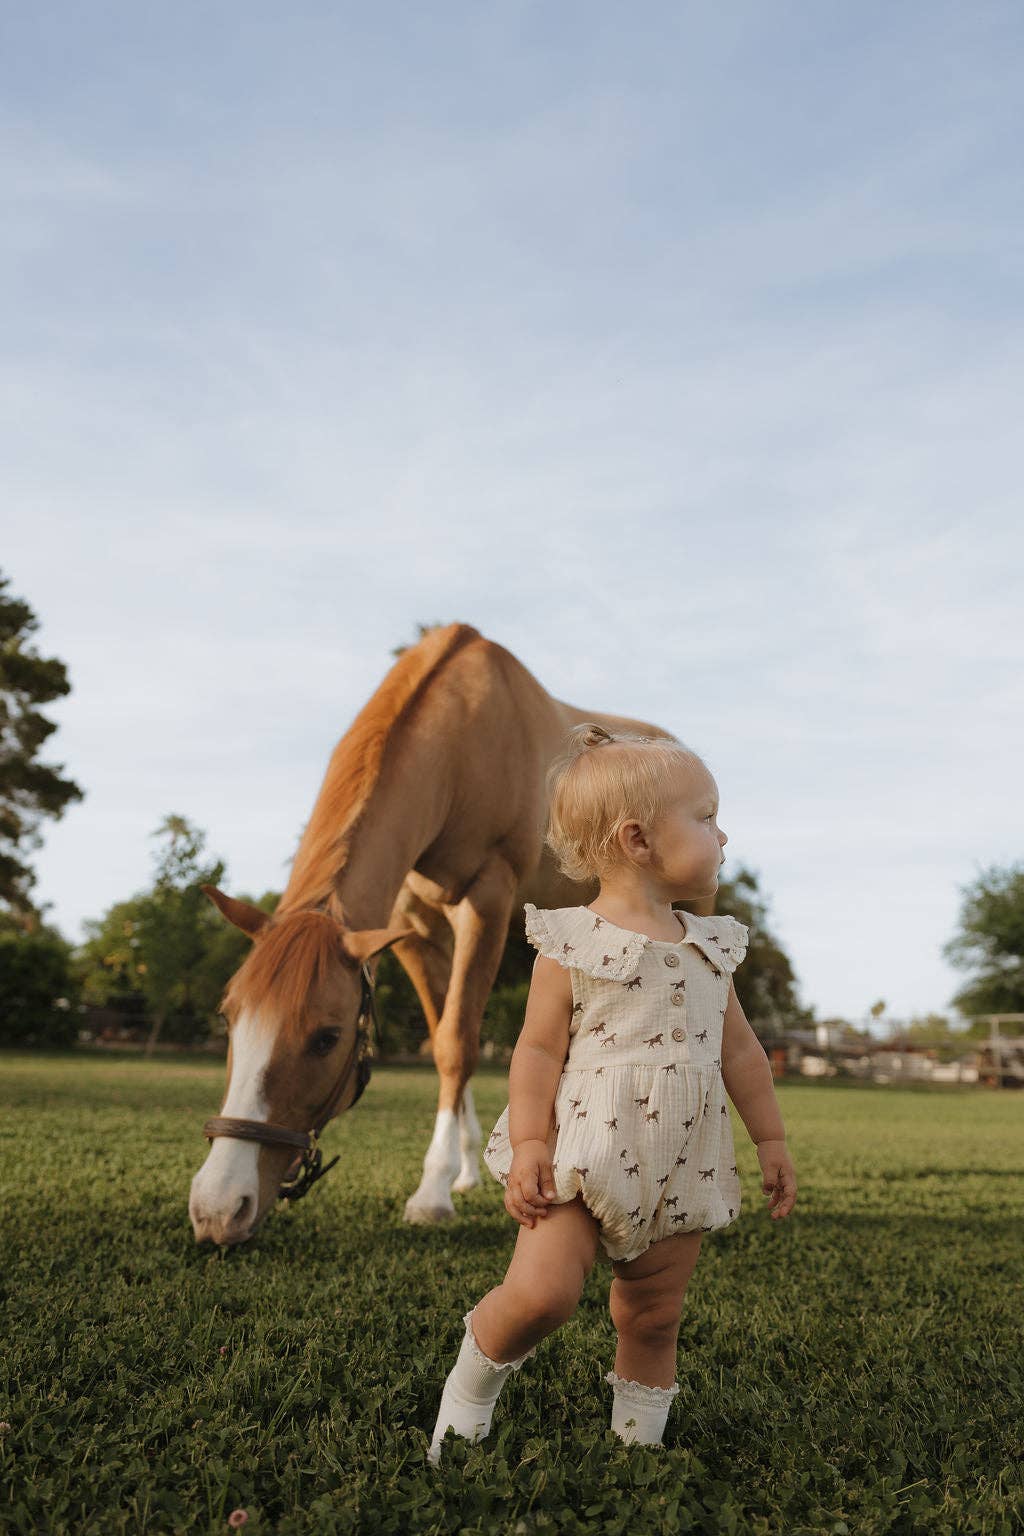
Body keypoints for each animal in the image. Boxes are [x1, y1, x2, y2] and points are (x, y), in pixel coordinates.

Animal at [189, 622, 707, 1245]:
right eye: (228, 1018)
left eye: (326, 1037)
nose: (218, 1209)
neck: (461, 746)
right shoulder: (412, 929)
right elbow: (441, 1037)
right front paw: (461, 1171)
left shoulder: (486, 900)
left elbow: (459, 1042)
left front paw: (431, 1192)